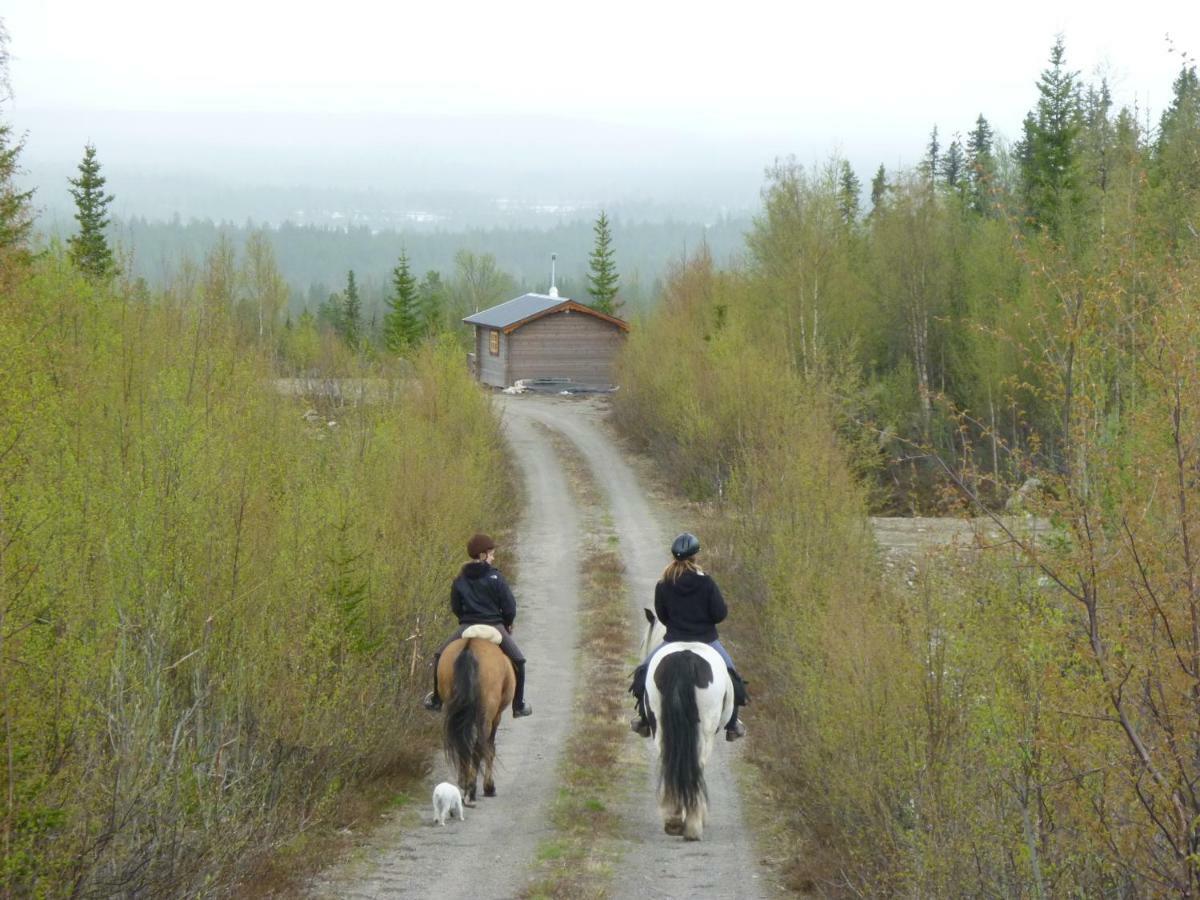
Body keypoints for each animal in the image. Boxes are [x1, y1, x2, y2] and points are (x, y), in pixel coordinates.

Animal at [441, 628, 516, 801]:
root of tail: (470, 647)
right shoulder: (496, 717)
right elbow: (490, 748)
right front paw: (489, 786)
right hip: (487, 716)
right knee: (478, 748)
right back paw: (473, 787)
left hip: (453, 707)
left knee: (461, 745)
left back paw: (465, 782)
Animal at [638, 609, 729, 844]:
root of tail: (685, 658)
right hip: (705, 732)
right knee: (697, 765)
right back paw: (693, 826)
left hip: (661, 728)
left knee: (668, 761)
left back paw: (674, 819)